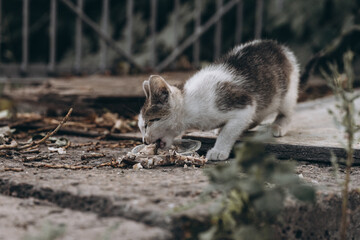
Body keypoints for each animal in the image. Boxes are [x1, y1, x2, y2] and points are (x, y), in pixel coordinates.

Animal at [139, 39, 300, 160]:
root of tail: (278, 46)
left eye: (149, 123)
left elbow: (229, 131)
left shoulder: (243, 103)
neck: (189, 106)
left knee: (287, 111)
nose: (144, 140)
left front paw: (219, 151)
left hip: (287, 90)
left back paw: (278, 125)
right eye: (141, 127)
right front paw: (221, 129)